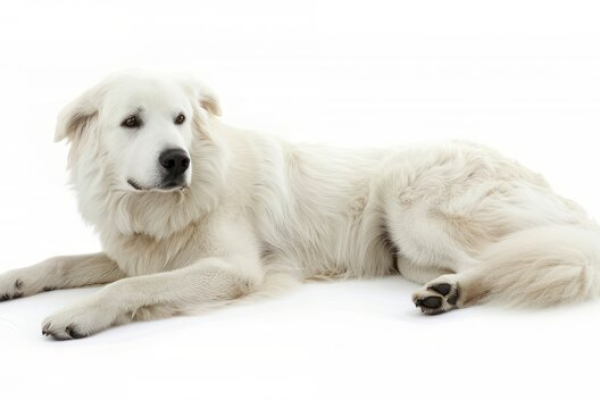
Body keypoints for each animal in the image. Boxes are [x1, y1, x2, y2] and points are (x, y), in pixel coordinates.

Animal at [1, 70, 600, 340]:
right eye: (131, 122)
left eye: (180, 120)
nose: (176, 161)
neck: (160, 209)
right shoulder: (139, 249)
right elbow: (66, 261)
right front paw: (14, 280)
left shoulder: (232, 269)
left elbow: (133, 287)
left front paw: (79, 314)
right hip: (408, 253)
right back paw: (445, 293)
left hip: (414, 205)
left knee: (515, 255)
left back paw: (452, 292)